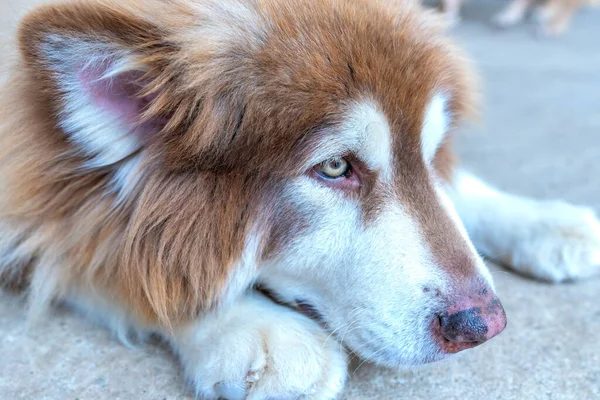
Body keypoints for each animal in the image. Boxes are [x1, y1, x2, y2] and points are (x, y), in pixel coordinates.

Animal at [1, 0, 600, 398]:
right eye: (335, 168)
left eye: (431, 153)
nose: (483, 326)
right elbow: (115, 262)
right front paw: (260, 331)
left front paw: (543, 221)